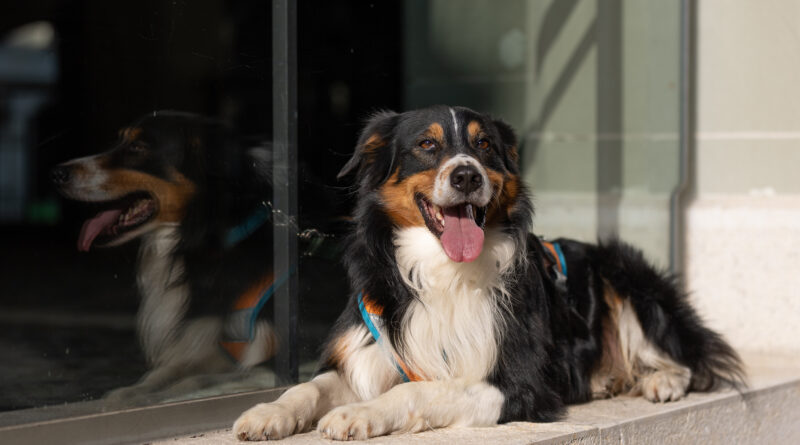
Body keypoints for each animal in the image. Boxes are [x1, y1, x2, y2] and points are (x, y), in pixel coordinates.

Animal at [50, 110, 282, 398]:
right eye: (119, 141)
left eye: (137, 148)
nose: (55, 173)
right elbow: (159, 375)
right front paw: (126, 396)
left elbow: (198, 382)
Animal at [234, 105, 748, 440]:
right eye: (427, 145)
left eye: (484, 145)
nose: (466, 175)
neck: (443, 269)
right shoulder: (366, 346)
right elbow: (307, 387)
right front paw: (265, 414)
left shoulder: (515, 384)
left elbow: (419, 392)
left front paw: (358, 415)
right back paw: (612, 378)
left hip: (625, 276)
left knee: (687, 355)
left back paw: (660, 380)